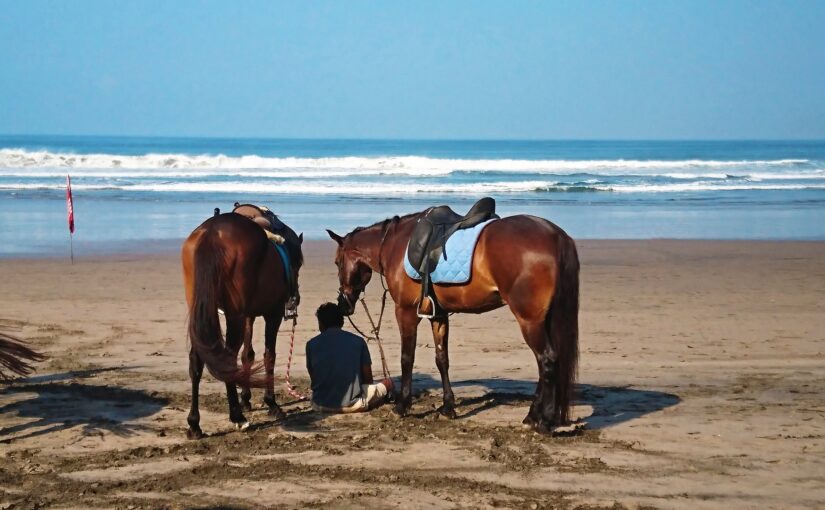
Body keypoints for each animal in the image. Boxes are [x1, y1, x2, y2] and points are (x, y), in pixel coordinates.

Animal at [181, 212, 303, 439]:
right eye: (298, 263)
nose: (295, 298)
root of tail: (212, 233)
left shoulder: (248, 316)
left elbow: (248, 354)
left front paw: (245, 398)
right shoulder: (272, 314)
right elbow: (269, 356)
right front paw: (271, 403)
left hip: (202, 312)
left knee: (196, 361)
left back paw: (195, 423)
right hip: (234, 316)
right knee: (228, 359)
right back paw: (237, 416)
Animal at [327, 210, 579, 433]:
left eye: (337, 262)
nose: (343, 303)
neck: (395, 245)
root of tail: (556, 236)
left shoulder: (405, 312)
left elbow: (407, 358)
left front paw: (402, 405)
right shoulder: (439, 315)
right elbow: (442, 360)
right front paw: (448, 407)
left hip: (529, 321)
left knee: (547, 360)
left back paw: (543, 421)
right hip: (544, 319)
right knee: (547, 363)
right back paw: (532, 416)